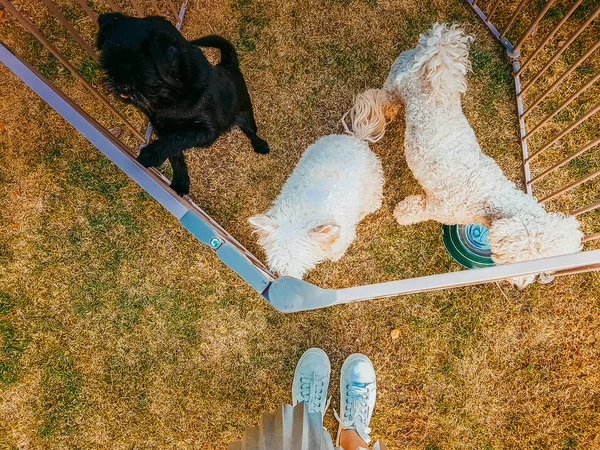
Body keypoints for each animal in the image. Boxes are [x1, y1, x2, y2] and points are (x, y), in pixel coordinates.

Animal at [96, 12, 270, 194]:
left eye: (142, 76)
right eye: (108, 68)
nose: (121, 85)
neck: (170, 95)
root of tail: (229, 65)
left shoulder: (206, 131)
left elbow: (179, 138)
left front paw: (151, 154)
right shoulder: (163, 129)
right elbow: (174, 152)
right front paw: (181, 180)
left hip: (245, 114)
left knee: (251, 131)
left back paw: (260, 144)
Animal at [247, 91, 384, 278]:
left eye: (298, 265)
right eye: (280, 266)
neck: (301, 214)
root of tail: (356, 139)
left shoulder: (344, 234)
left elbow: (338, 248)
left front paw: (334, 256)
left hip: (372, 187)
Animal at [356, 22, 580, 286]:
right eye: (526, 260)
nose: (522, 284)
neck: (488, 199)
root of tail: (436, 46)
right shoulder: (435, 207)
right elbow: (415, 210)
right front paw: (402, 214)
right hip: (396, 83)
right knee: (385, 98)